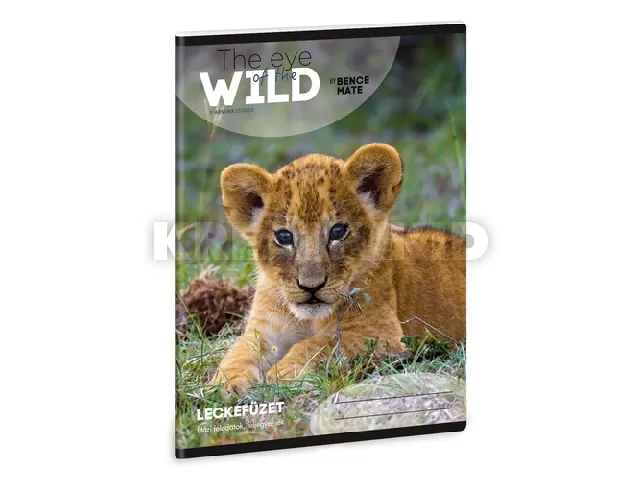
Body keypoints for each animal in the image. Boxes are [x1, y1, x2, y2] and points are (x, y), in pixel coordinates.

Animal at [210, 143, 465, 393]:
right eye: (284, 236)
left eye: (338, 231)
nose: (311, 287)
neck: (307, 320)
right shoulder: (264, 331)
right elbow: (238, 353)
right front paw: (226, 384)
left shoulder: (382, 334)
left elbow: (318, 344)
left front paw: (280, 375)